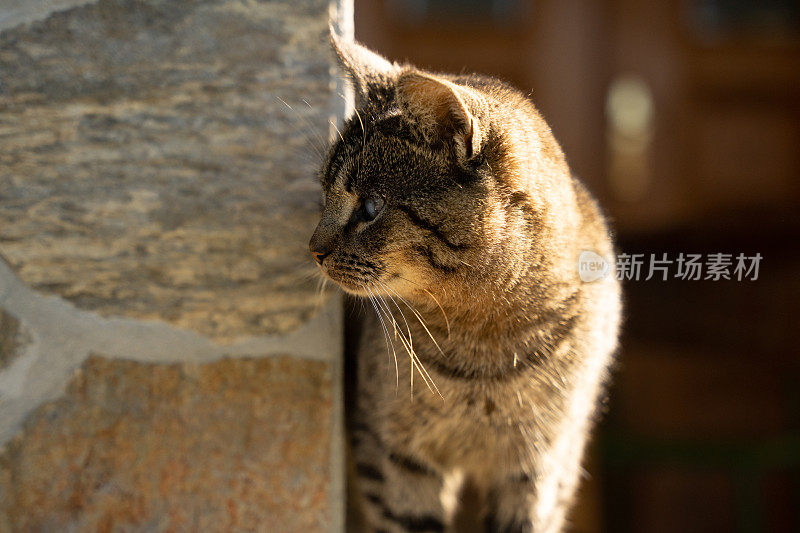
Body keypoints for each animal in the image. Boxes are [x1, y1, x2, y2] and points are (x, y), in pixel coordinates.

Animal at [310, 31, 620, 528]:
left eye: (371, 207)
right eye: (323, 194)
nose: (313, 249)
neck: (483, 343)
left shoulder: (542, 467)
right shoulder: (392, 454)